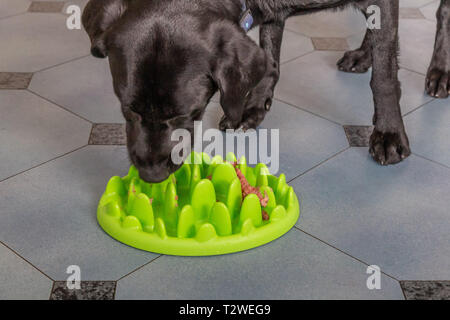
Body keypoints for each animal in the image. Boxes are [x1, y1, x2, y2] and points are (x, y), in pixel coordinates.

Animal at [82, 0, 444, 182]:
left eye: (188, 113)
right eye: (127, 109)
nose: (151, 174)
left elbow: (384, 76)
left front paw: (388, 134)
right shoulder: (272, 11)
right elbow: (270, 59)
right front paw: (253, 108)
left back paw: (440, 73)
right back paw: (363, 54)